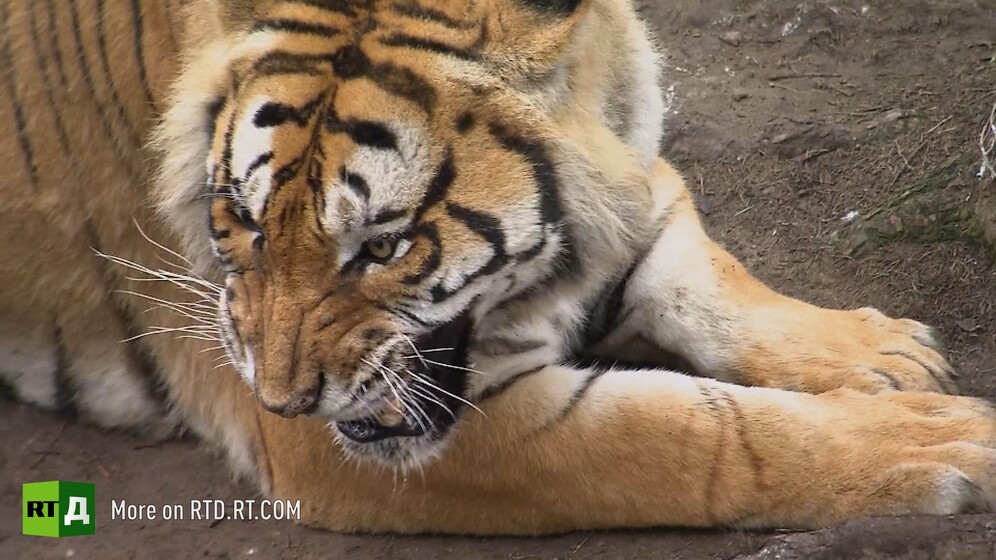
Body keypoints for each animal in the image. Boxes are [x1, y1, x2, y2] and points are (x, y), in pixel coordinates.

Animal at [1, 0, 994, 535]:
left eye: (385, 246)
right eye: (243, 223)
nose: (283, 404)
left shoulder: (637, 176)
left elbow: (705, 279)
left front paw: (886, 355)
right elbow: (698, 436)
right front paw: (938, 440)